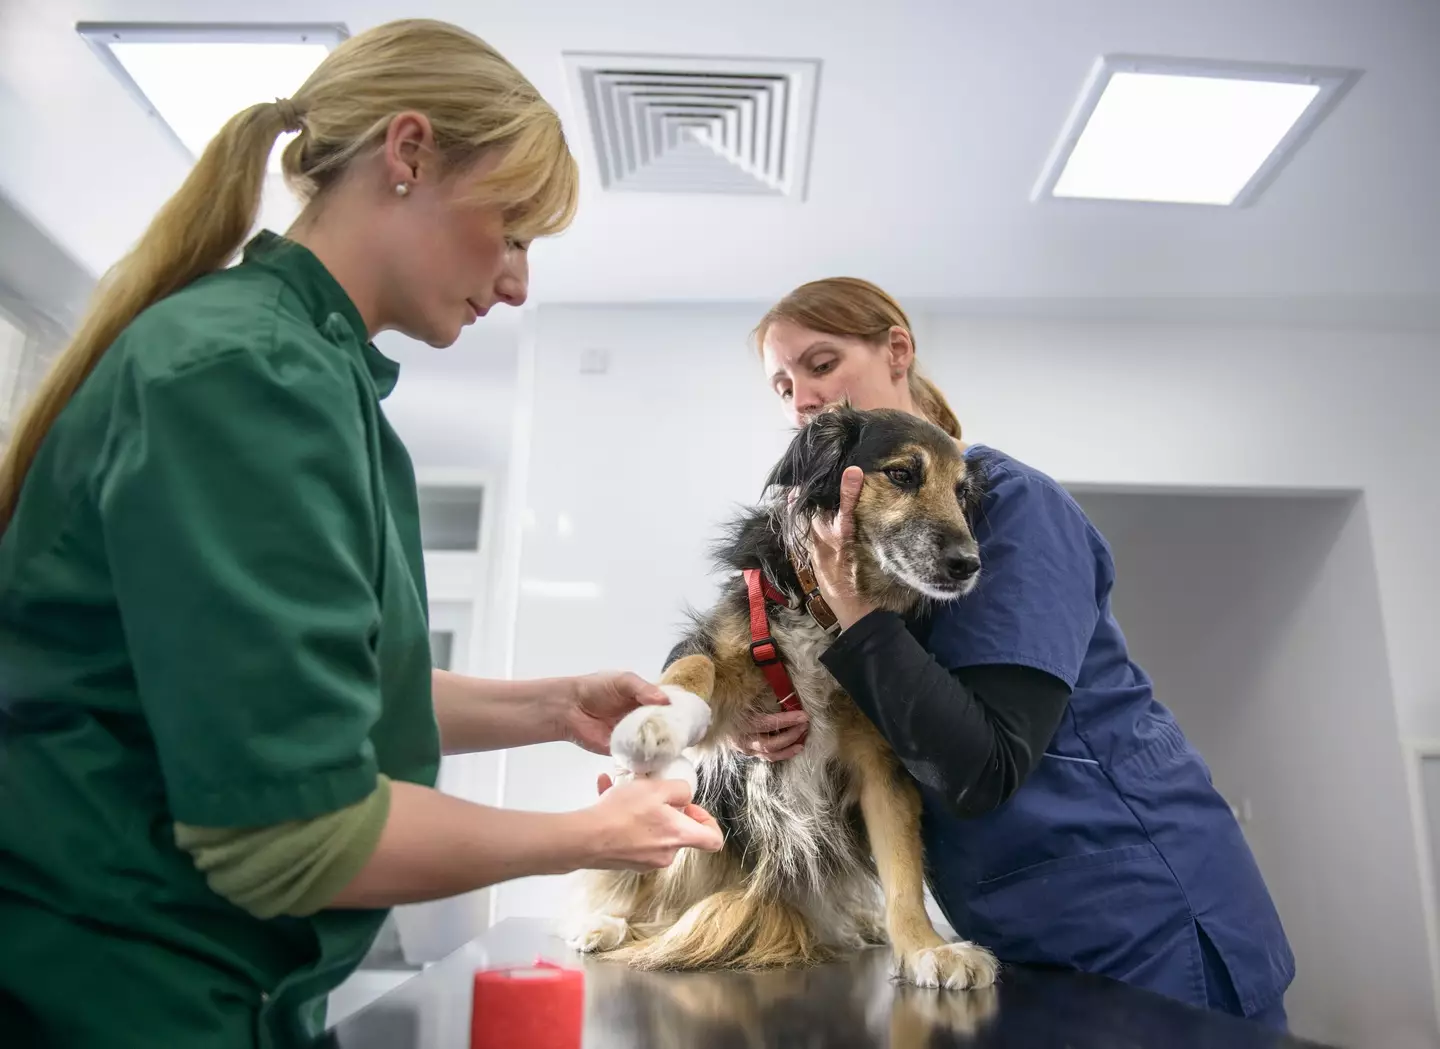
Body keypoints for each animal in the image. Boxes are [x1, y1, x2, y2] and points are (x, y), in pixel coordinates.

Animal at [567, 406, 996, 985]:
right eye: (903, 474)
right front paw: (653, 720)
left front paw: (926, 947)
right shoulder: (732, 659)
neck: (827, 613)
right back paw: (606, 923)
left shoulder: (882, 759)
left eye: (961, 491)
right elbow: (696, 664)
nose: (969, 564)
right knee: (649, 892)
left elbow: (903, 870)